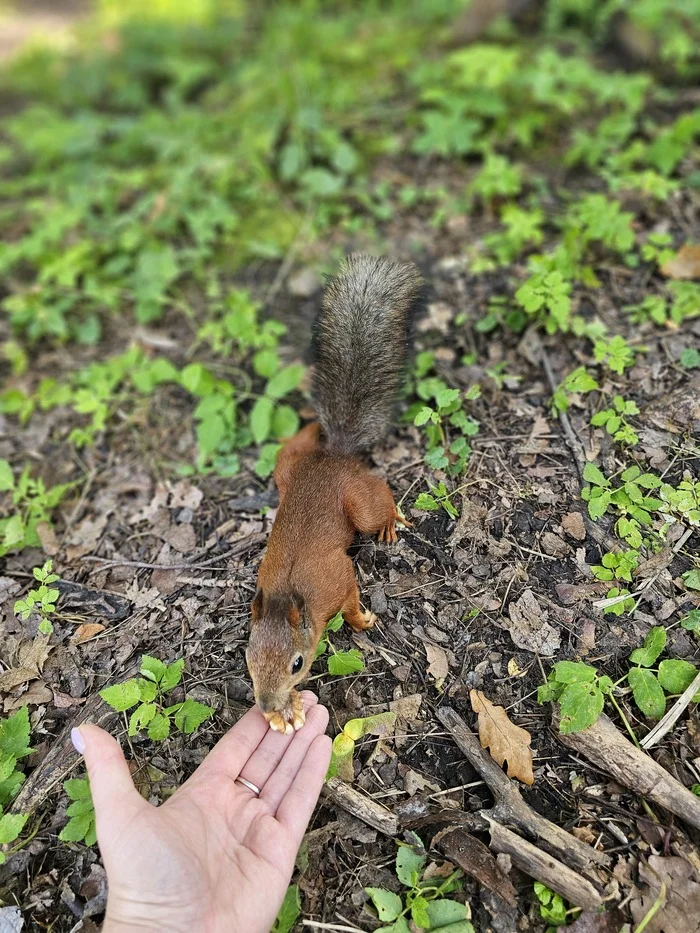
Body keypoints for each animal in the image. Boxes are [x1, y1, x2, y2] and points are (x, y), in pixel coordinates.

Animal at [246, 255, 422, 736]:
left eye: (297, 664)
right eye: (249, 658)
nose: (266, 703)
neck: (289, 597)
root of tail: (334, 456)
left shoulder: (337, 579)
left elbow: (351, 604)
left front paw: (364, 619)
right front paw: (284, 714)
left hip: (356, 501)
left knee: (377, 496)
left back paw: (389, 521)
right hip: (286, 471)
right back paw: (309, 425)